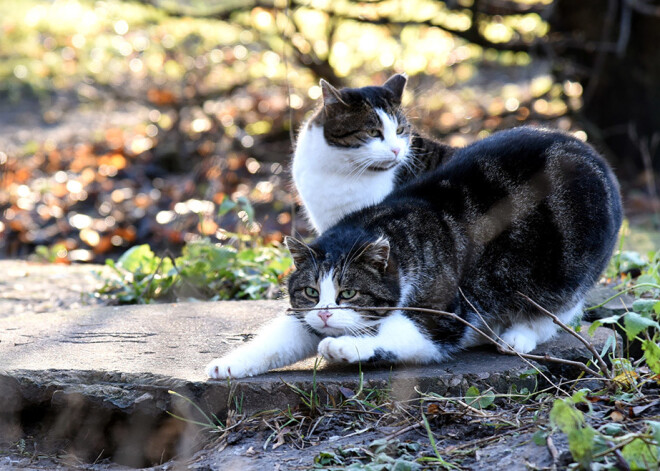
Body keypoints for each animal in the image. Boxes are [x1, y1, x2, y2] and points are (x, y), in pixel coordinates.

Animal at [208, 127, 624, 382]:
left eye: (349, 293)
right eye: (311, 293)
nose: (326, 314)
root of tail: (591, 152)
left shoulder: (443, 315)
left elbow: (401, 332)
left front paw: (344, 346)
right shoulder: (304, 317)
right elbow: (279, 338)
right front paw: (228, 364)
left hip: (563, 268)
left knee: (561, 309)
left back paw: (517, 334)